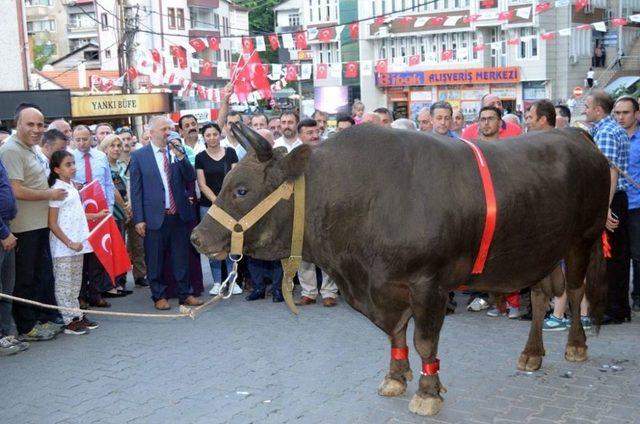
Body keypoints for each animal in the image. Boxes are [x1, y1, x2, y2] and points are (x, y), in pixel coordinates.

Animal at [191, 121, 608, 416]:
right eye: (226, 183)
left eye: (242, 189)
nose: (197, 237)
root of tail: (574, 133)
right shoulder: (385, 287)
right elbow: (394, 334)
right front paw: (394, 377)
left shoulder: (428, 283)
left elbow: (424, 342)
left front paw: (427, 392)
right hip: (540, 251)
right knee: (538, 297)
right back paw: (532, 353)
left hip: (582, 240)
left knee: (574, 292)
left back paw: (575, 345)